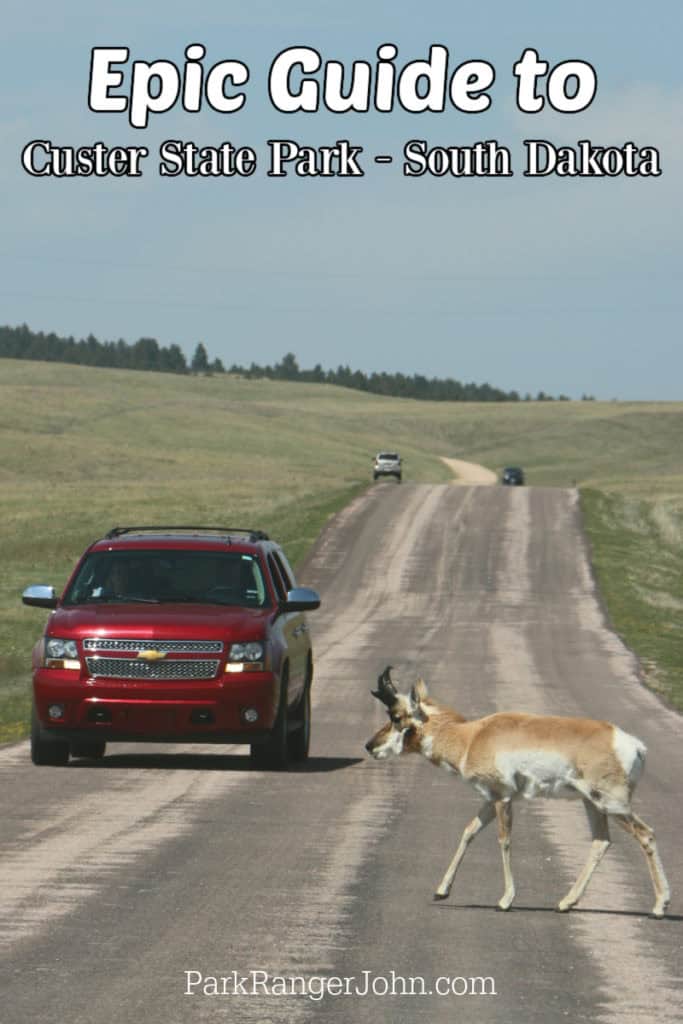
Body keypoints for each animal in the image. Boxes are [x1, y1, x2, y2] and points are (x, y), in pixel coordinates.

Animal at [366, 667, 671, 917]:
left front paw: (505, 900)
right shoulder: (490, 799)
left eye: (396, 717)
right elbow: (468, 832)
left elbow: (504, 840)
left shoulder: (502, 798)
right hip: (592, 804)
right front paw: (441, 890)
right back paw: (565, 903)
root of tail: (632, 744)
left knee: (646, 834)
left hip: (612, 804)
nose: (369, 746)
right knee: (601, 841)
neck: (472, 737)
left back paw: (659, 906)